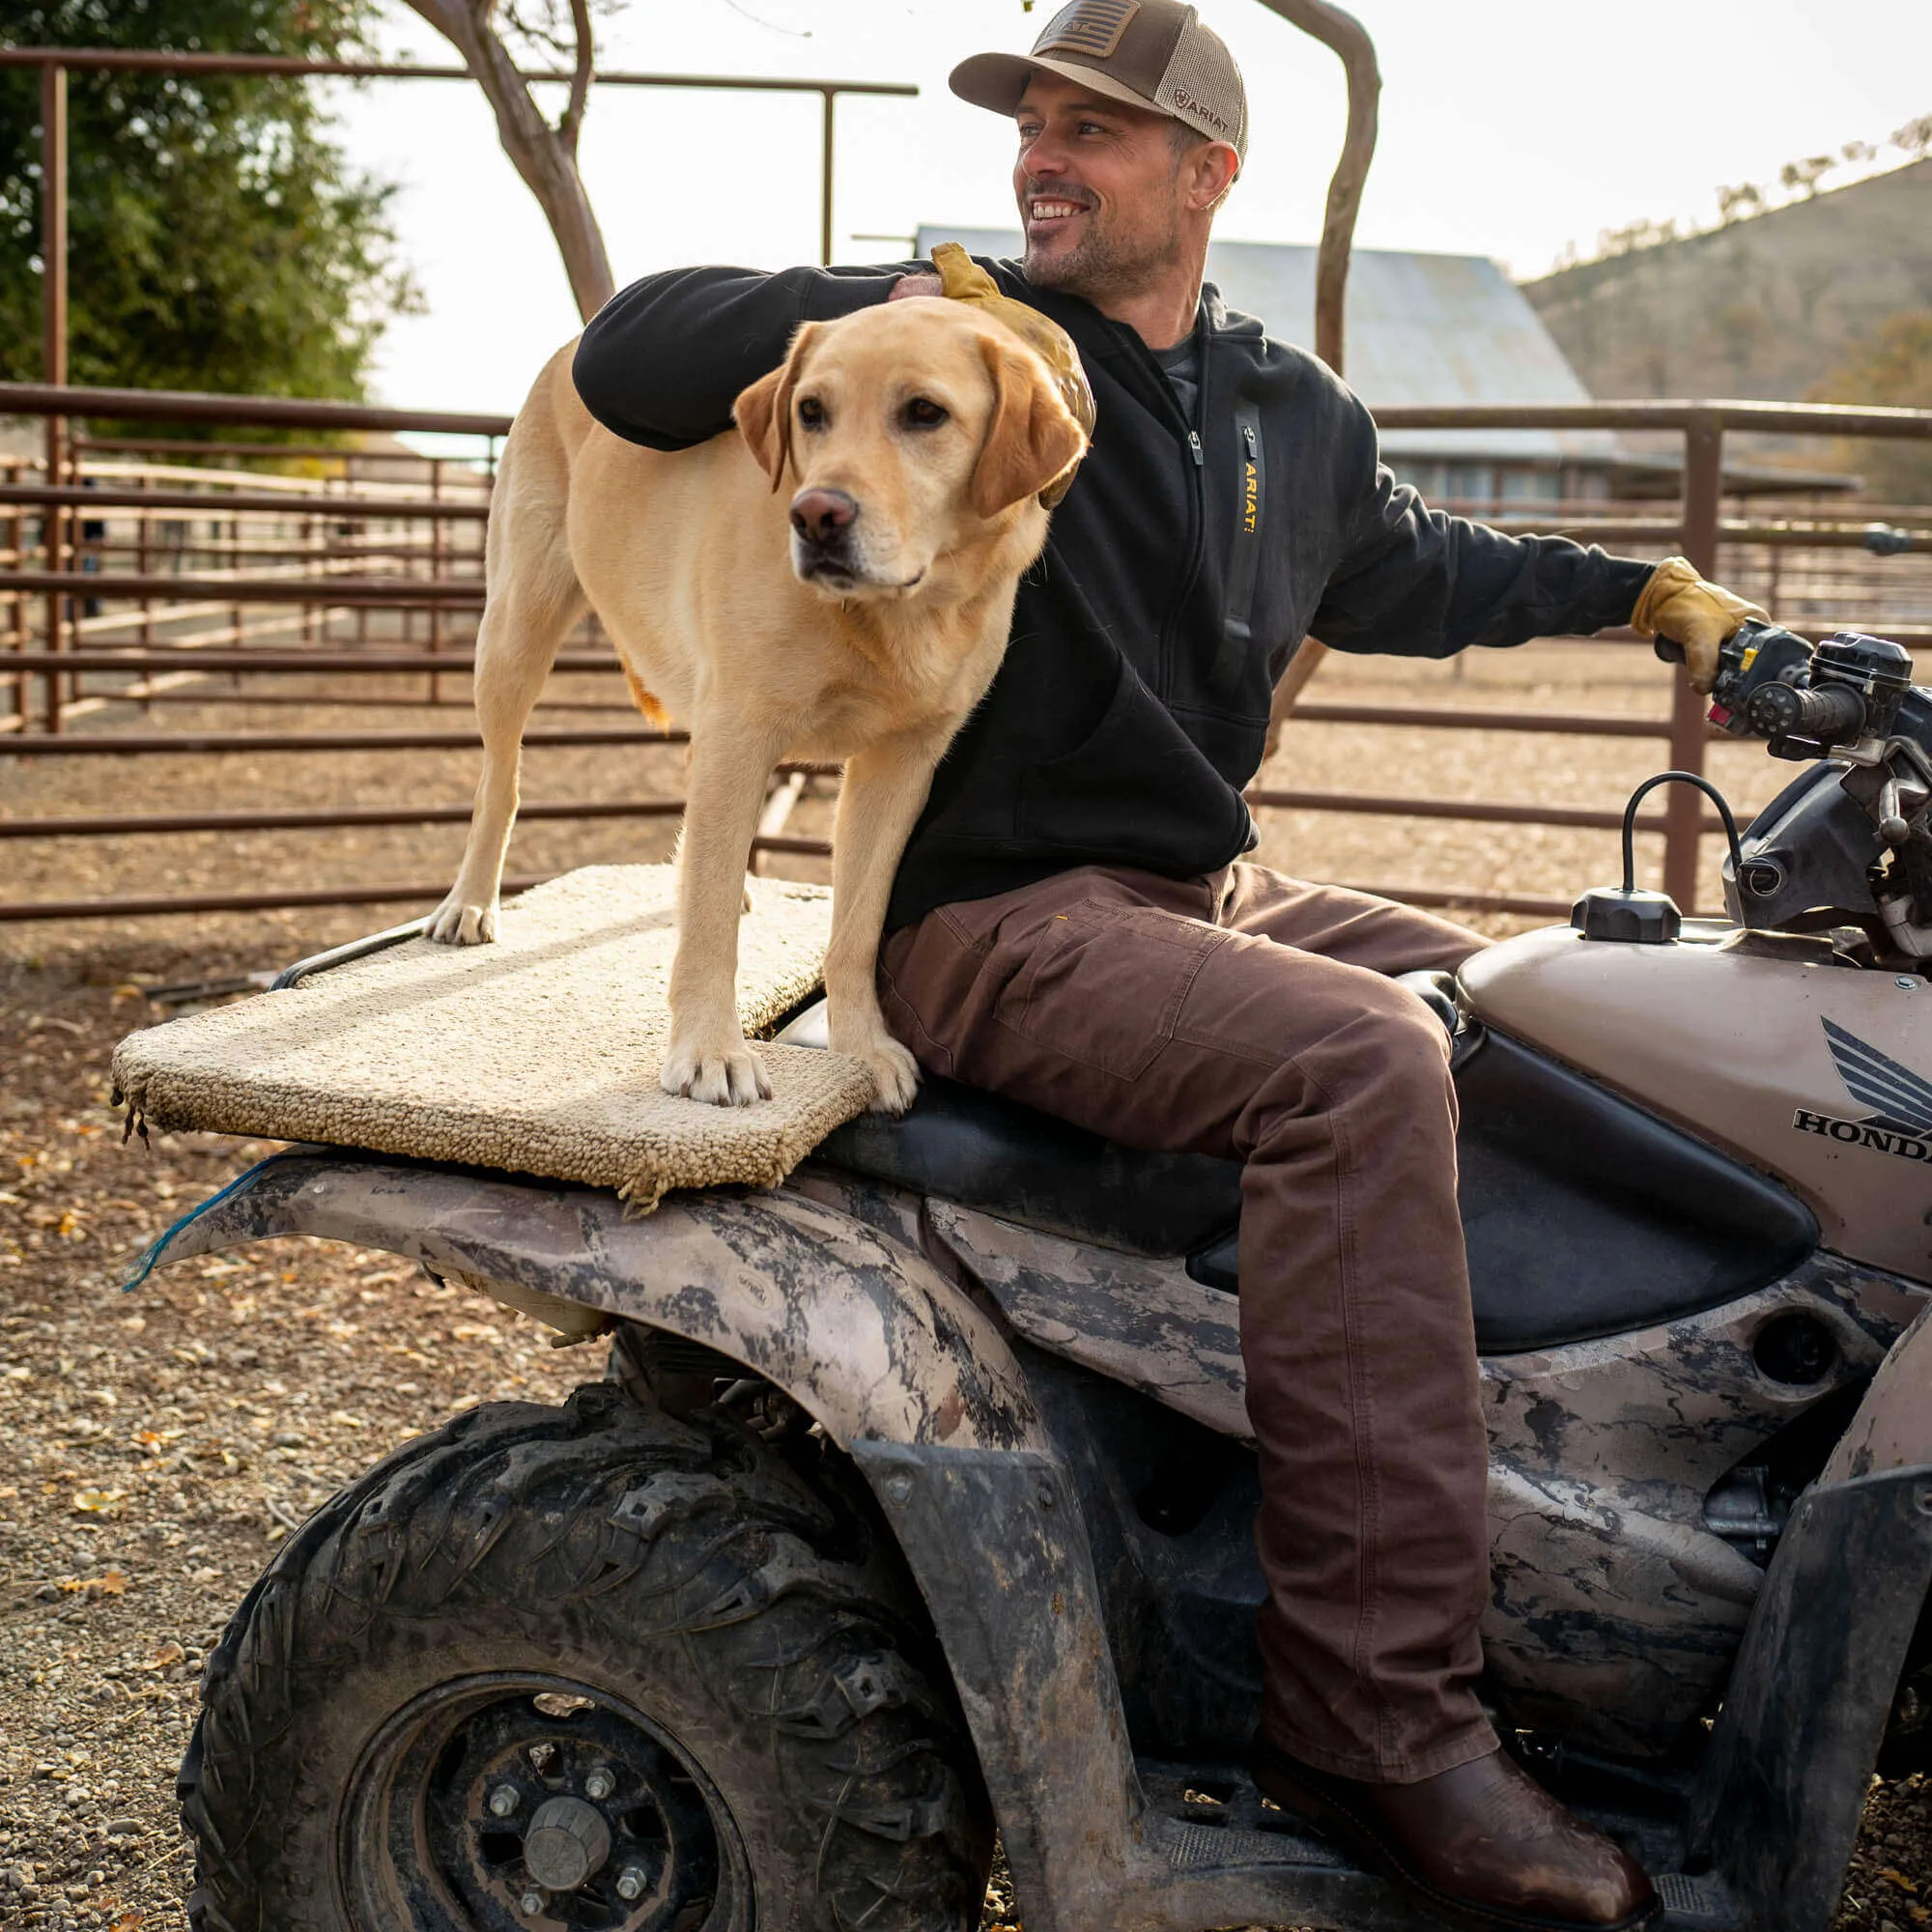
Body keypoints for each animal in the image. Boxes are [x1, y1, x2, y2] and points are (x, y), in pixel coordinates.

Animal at [431, 301, 1090, 1121]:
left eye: (925, 413)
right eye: (811, 412)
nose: (816, 516)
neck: (891, 615)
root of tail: (568, 347)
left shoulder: (899, 766)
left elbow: (856, 926)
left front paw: (861, 1047)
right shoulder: (740, 731)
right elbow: (709, 927)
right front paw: (709, 1051)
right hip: (516, 629)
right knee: (502, 781)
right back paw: (469, 903)